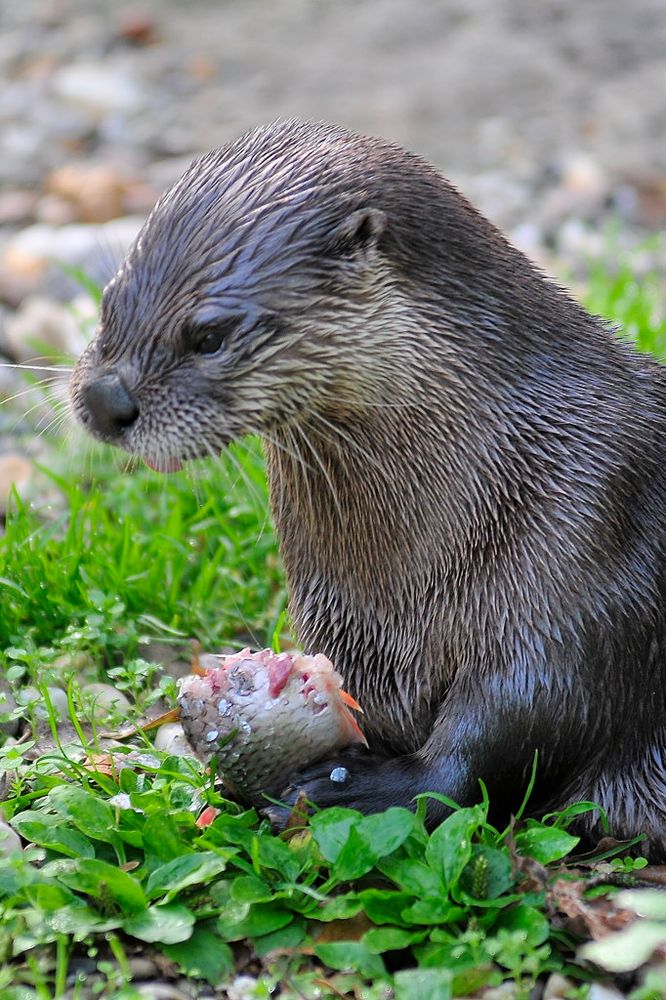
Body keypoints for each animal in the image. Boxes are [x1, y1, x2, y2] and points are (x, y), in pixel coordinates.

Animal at [67, 119, 664, 860]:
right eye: (107, 302)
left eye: (209, 334)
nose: (104, 399)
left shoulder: (587, 533)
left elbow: (523, 718)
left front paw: (363, 789)